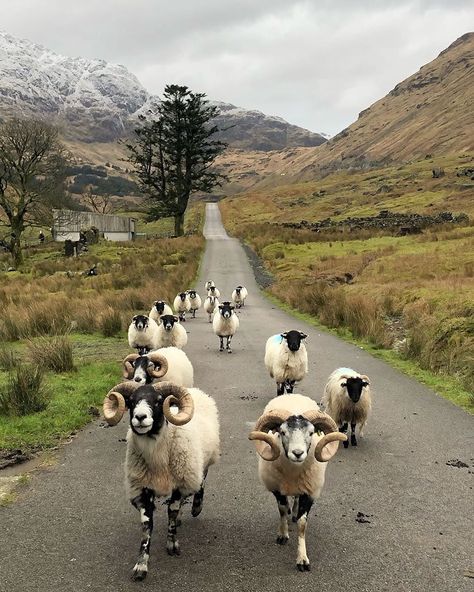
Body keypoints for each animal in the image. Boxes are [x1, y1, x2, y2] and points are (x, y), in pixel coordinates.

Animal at [103, 382, 220, 580]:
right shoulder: (143, 488)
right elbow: (147, 526)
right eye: (131, 401)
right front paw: (141, 565)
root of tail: (195, 391)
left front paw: (172, 545)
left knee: (200, 483)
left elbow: (171, 513)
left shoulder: (179, 484)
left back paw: (196, 507)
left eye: (158, 401)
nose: (140, 417)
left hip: (201, 463)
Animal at [250, 396, 346, 572]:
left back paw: (293, 512)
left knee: (295, 499)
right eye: (282, 432)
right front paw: (282, 535)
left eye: (311, 432)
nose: (297, 453)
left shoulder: (310, 492)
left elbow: (302, 525)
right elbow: (281, 510)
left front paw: (302, 559)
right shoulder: (277, 489)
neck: (293, 471)